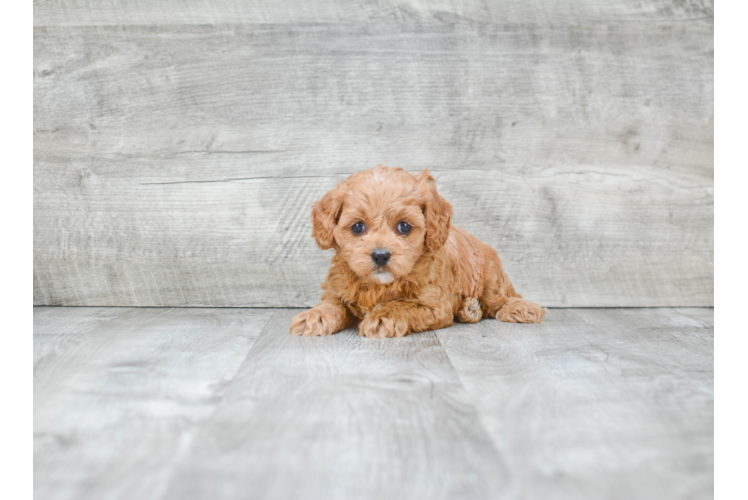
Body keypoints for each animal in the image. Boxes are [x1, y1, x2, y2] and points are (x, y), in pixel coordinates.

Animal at [290, 166, 544, 338]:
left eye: (404, 226)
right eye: (358, 227)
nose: (380, 255)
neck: (378, 286)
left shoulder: (435, 305)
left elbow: (403, 305)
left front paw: (383, 317)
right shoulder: (337, 289)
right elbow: (331, 304)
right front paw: (314, 316)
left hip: (490, 274)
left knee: (500, 298)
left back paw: (521, 308)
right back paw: (469, 309)